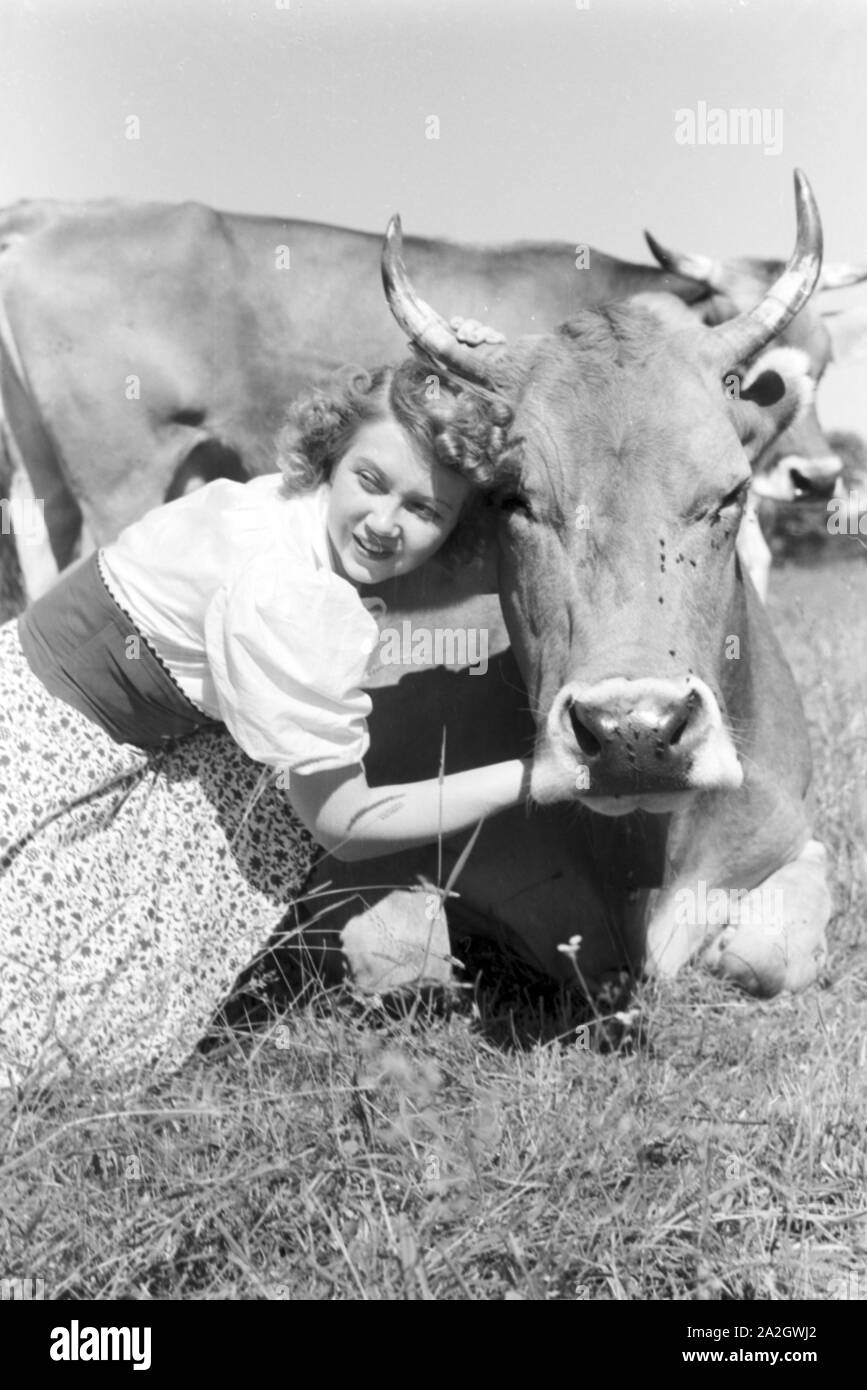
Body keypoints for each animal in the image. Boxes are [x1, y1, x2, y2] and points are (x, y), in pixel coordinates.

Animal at [289, 170, 828, 1000]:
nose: (634, 732)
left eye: (731, 494)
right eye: (513, 498)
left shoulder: (799, 847)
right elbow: (400, 955)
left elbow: (765, 951)